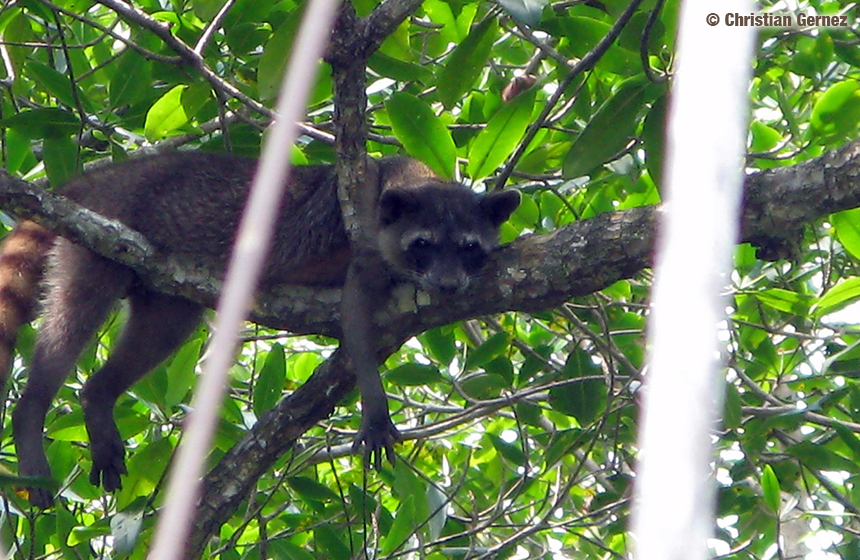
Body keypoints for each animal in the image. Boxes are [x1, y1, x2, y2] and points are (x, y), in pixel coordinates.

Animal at [0, 154, 516, 508]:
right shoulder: (366, 234)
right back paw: (31, 411)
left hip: (165, 285)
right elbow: (356, 315)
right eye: (423, 244)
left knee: (160, 332)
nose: (448, 285)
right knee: (75, 315)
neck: (410, 179)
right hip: (103, 231)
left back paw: (99, 395)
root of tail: (109, 174)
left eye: (469, 247)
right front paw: (375, 405)